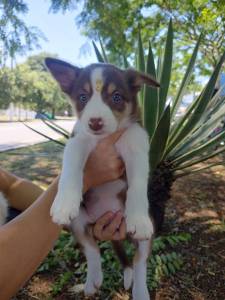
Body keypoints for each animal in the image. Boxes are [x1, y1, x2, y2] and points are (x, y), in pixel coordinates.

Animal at [45, 57, 160, 298]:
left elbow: (137, 185)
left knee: (139, 262)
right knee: (92, 249)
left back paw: (140, 291)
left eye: (116, 97)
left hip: (147, 233)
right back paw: (92, 282)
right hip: (78, 222)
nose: (95, 122)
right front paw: (63, 203)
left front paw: (138, 219)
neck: (105, 137)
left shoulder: (136, 146)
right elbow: (70, 171)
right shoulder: (77, 141)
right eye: (82, 97)